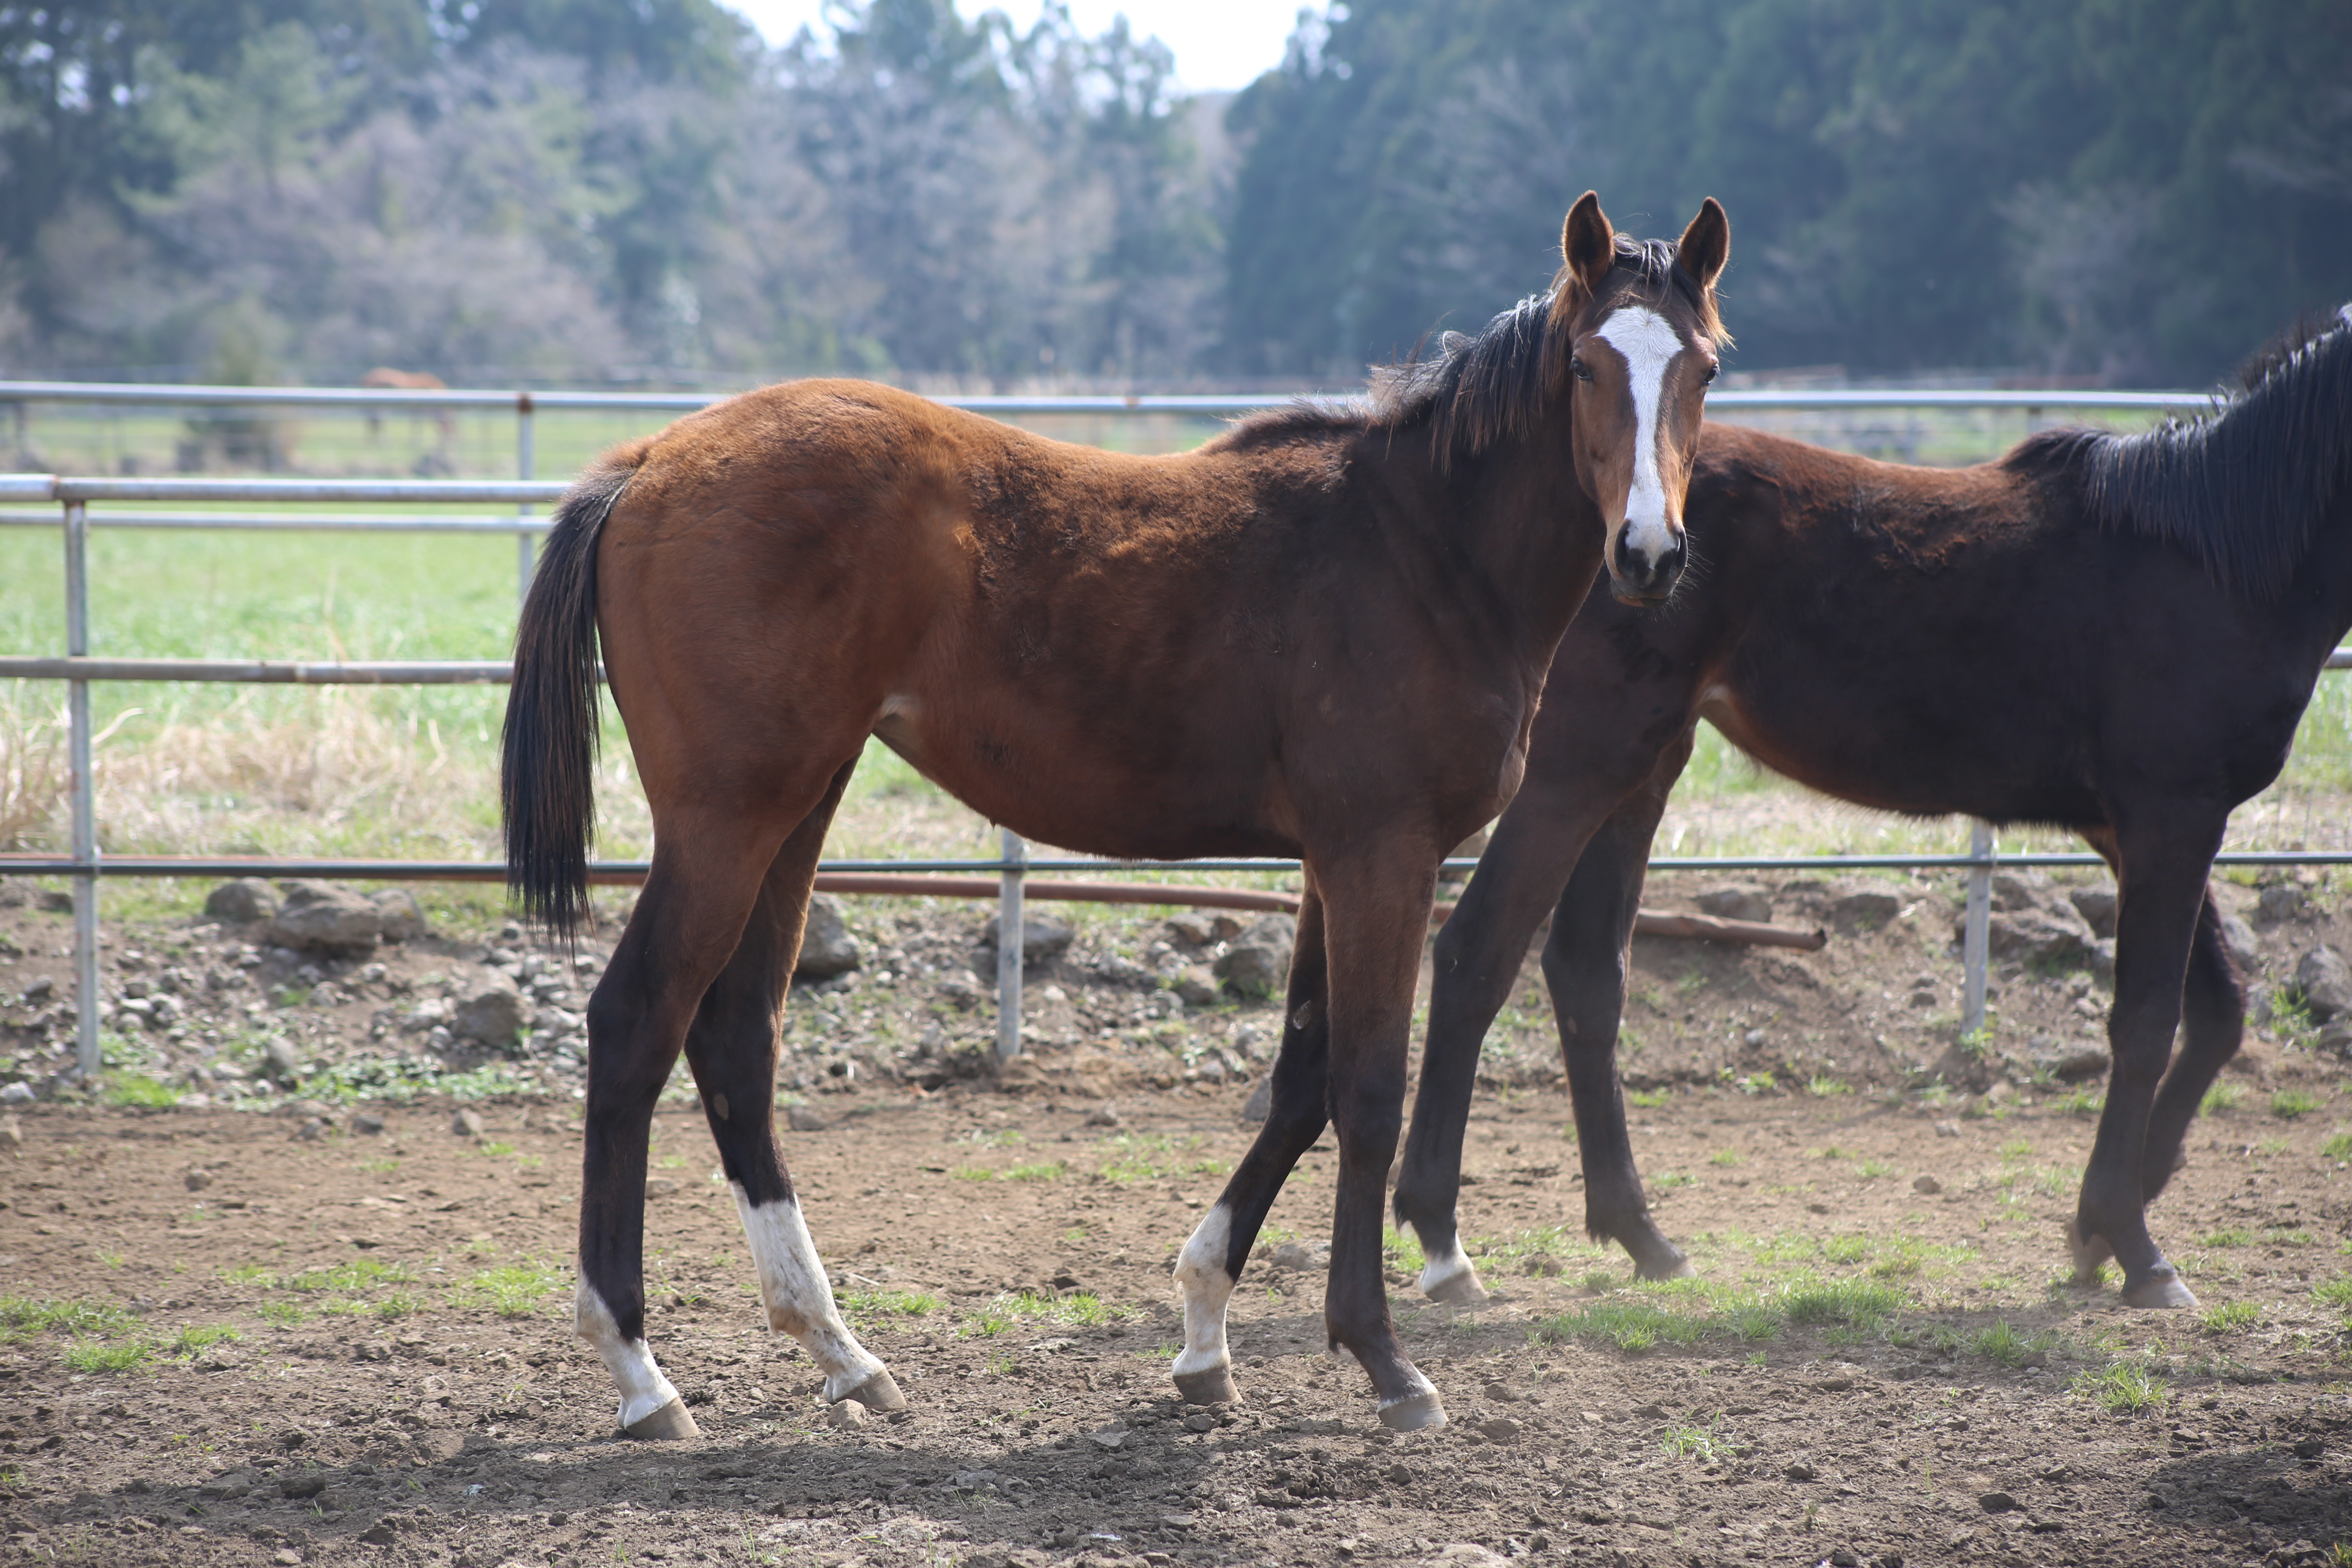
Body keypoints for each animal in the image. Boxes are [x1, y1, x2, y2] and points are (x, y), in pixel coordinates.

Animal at [506, 193, 1740, 1439]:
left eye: (1704, 370)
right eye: (1584, 366)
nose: (1650, 553)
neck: (1420, 551)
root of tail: (648, 462)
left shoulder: (1328, 864)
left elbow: (1300, 1078)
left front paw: (1203, 1335)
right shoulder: (1380, 855)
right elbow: (1364, 1088)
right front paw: (1383, 1359)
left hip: (797, 807)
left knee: (734, 1037)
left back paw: (841, 1351)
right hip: (726, 820)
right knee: (636, 1023)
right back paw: (641, 1373)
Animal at [1383, 303, 2352, 1316]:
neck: (2218, 557)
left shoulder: (2138, 829)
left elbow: (2218, 1012)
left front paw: (2094, 1232)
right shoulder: (2172, 816)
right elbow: (2149, 1021)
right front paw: (2137, 1248)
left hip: (1641, 768)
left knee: (1584, 971)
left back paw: (1643, 1236)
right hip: (1581, 764)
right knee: (1478, 952)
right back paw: (1444, 1242)